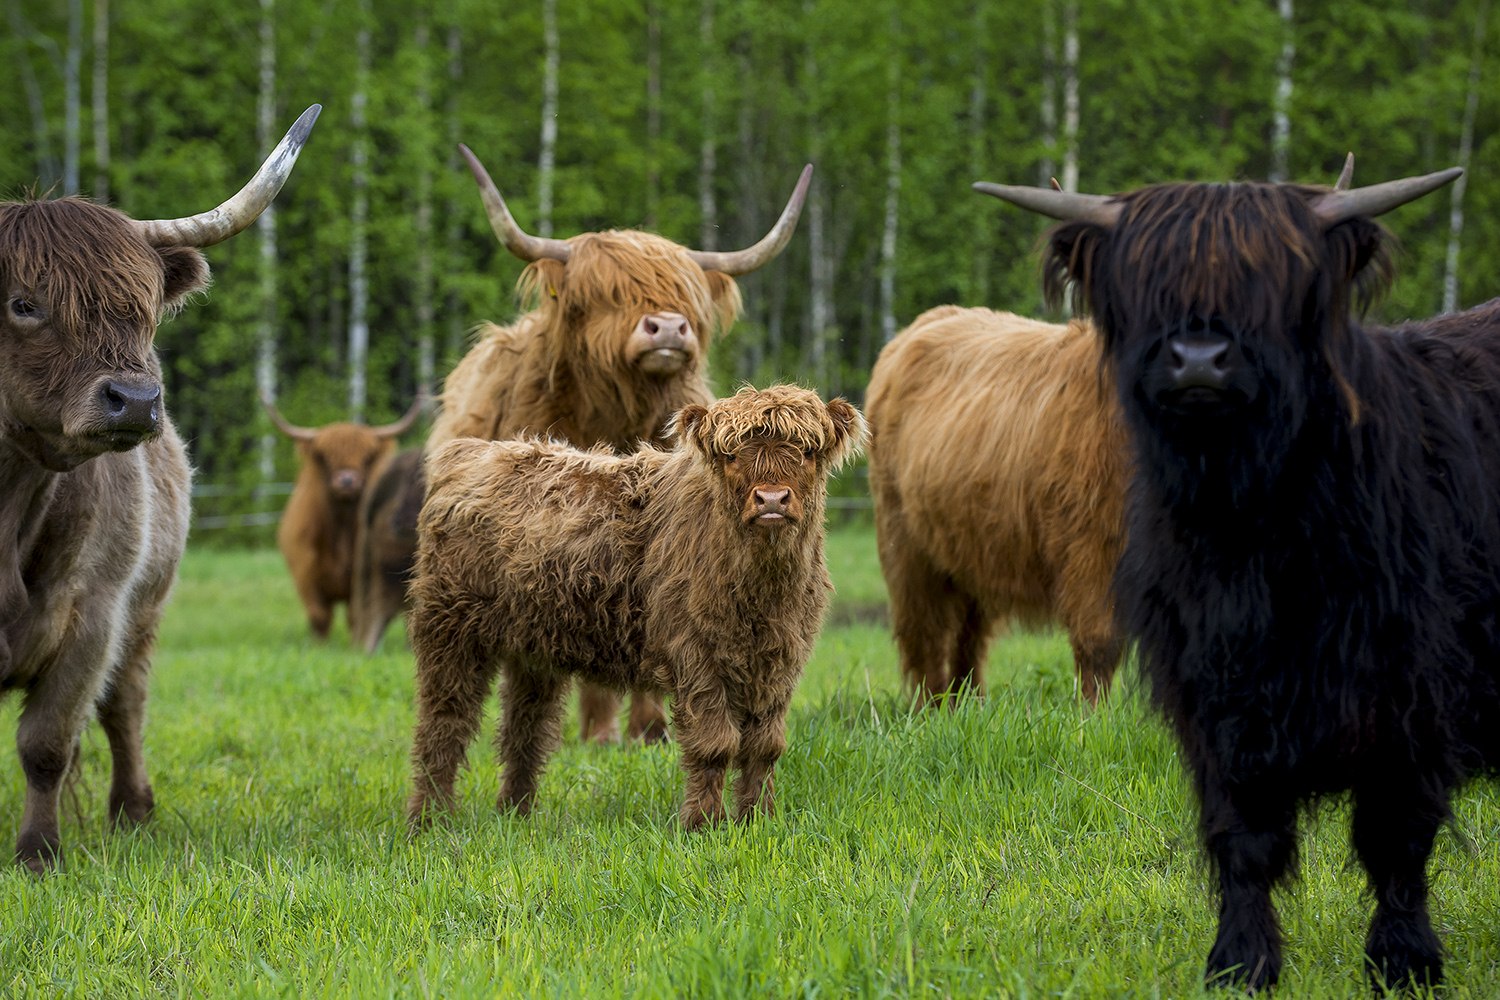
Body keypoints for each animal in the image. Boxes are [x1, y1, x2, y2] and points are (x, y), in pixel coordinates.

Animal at [262, 392, 423, 638]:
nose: (347, 480)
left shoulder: (360, 581)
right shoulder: (306, 575)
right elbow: (319, 616)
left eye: (367, 456)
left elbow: (355, 618)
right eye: (324, 456)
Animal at [408, 386, 870, 833]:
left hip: (533, 646)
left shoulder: (780, 660)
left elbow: (765, 748)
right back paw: (429, 821)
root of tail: (470, 451)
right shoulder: (696, 656)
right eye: (731, 455)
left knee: (526, 727)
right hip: (449, 630)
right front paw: (705, 826)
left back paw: (516, 814)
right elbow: (715, 745)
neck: (762, 589)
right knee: (443, 725)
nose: (772, 499)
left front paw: (758, 822)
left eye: (807, 452)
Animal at [870, 305, 1128, 704]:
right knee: (924, 633)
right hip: (905, 546)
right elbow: (1098, 640)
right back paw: (930, 706)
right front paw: (1095, 714)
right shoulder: (1093, 542)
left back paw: (968, 702)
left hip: (973, 549)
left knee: (968, 636)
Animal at [978, 167, 1500, 989]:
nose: (1198, 358)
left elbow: (1395, 835)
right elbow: (1242, 837)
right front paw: (1239, 962)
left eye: (1273, 281)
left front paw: (1403, 961)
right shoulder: (1211, 699)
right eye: (1148, 280)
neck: (1245, 533)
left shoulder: (1411, 692)